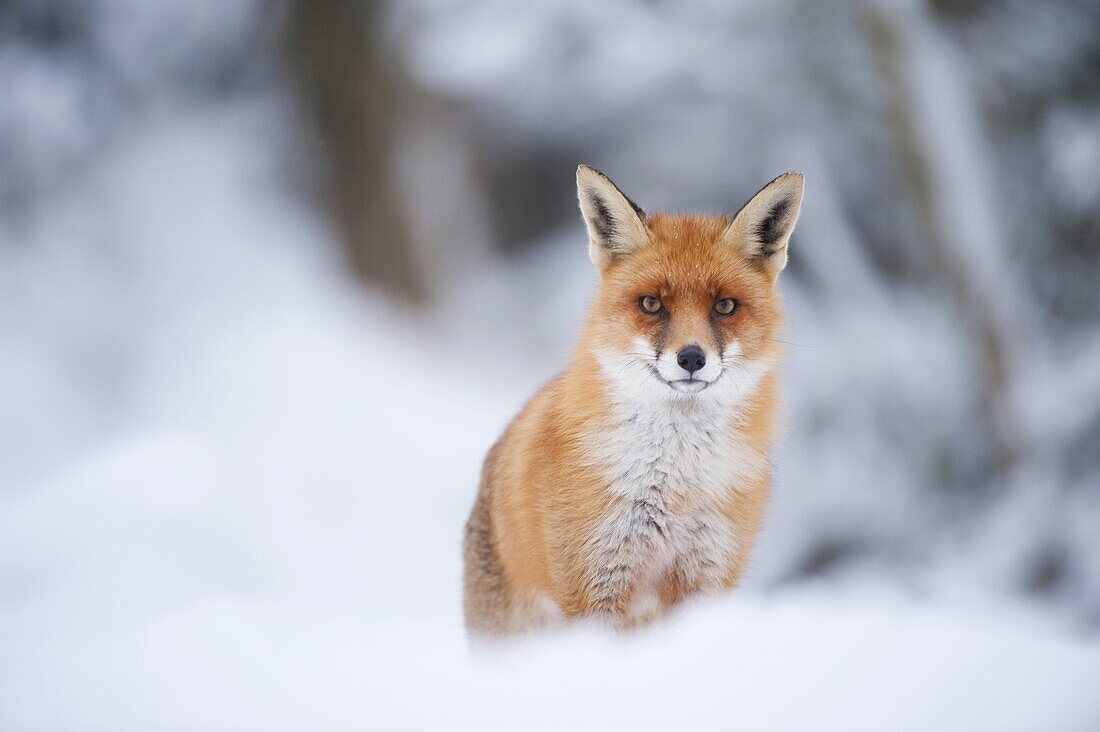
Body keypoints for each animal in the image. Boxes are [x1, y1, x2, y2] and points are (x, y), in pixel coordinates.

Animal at [459, 165, 805, 634]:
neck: (678, 482)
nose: (691, 358)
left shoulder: (706, 570)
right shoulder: (596, 578)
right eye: (651, 304)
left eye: (725, 306)